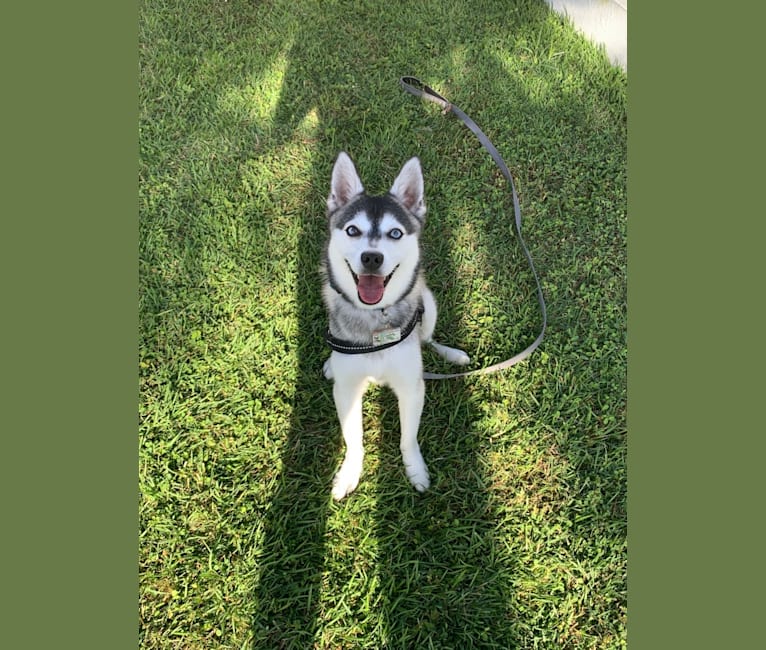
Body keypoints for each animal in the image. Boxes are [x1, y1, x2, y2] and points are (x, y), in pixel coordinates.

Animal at [320, 153, 472, 502]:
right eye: (352, 230)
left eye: (395, 234)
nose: (372, 258)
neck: (375, 321)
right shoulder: (347, 390)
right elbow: (353, 438)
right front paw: (349, 473)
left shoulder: (411, 387)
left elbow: (408, 437)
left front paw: (415, 471)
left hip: (428, 302)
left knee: (427, 338)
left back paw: (452, 354)